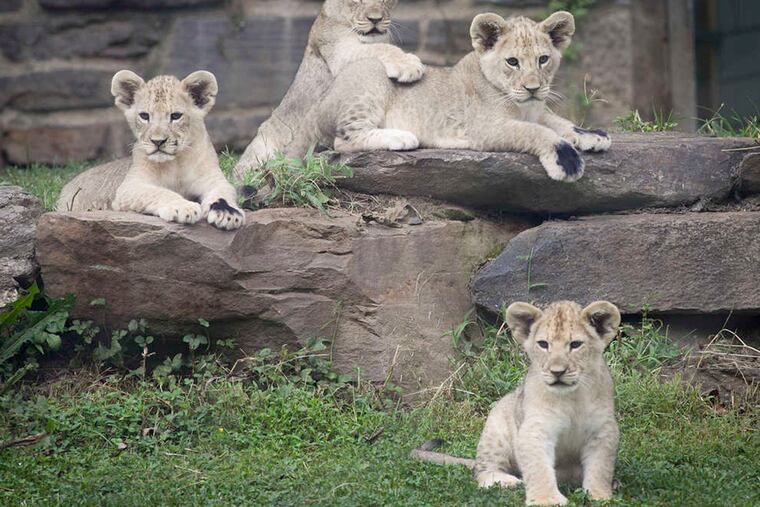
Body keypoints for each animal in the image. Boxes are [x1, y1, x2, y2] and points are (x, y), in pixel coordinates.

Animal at [104, 70, 244, 230]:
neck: (175, 164)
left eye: (176, 116)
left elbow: (223, 192)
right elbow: (158, 192)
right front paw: (183, 207)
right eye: (144, 116)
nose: (157, 141)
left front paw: (228, 213)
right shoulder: (128, 187)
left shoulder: (213, 178)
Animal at [233, 0, 424, 177]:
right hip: (263, 144)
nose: (375, 19)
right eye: (357, 0)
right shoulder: (339, 50)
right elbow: (379, 48)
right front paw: (409, 65)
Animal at [288, 11, 612, 182]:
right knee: (343, 140)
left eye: (543, 59)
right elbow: (535, 132)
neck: (522, 105)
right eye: (512, 62)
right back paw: (401, 137)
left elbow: (558, 121)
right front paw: (566, 160)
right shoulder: (486, 129)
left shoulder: (538, 110)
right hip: (370, 73)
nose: (533, 88)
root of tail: (318, 102)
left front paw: (592, 135)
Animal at [411, 300, 622, 506]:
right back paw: (508, 481)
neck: (572, 398)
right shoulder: (535, 429)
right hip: (496, 434)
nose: (557, 372)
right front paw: (546, 499)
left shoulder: (603, 430)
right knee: (482, 472)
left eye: (576, 344)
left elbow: (600, 467)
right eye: (543, 344)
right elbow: (538, 467)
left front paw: (599, 495)